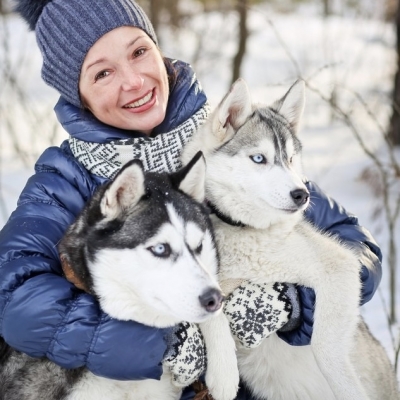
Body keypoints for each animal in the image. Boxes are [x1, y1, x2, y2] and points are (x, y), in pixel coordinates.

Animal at [182, 80, 400, 400]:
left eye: (291, 159)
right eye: (259, 158)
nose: (302, 194)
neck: (243, 230)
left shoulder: (338, 266)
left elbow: (324, 349)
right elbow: (210, 313)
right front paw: (223, 373)